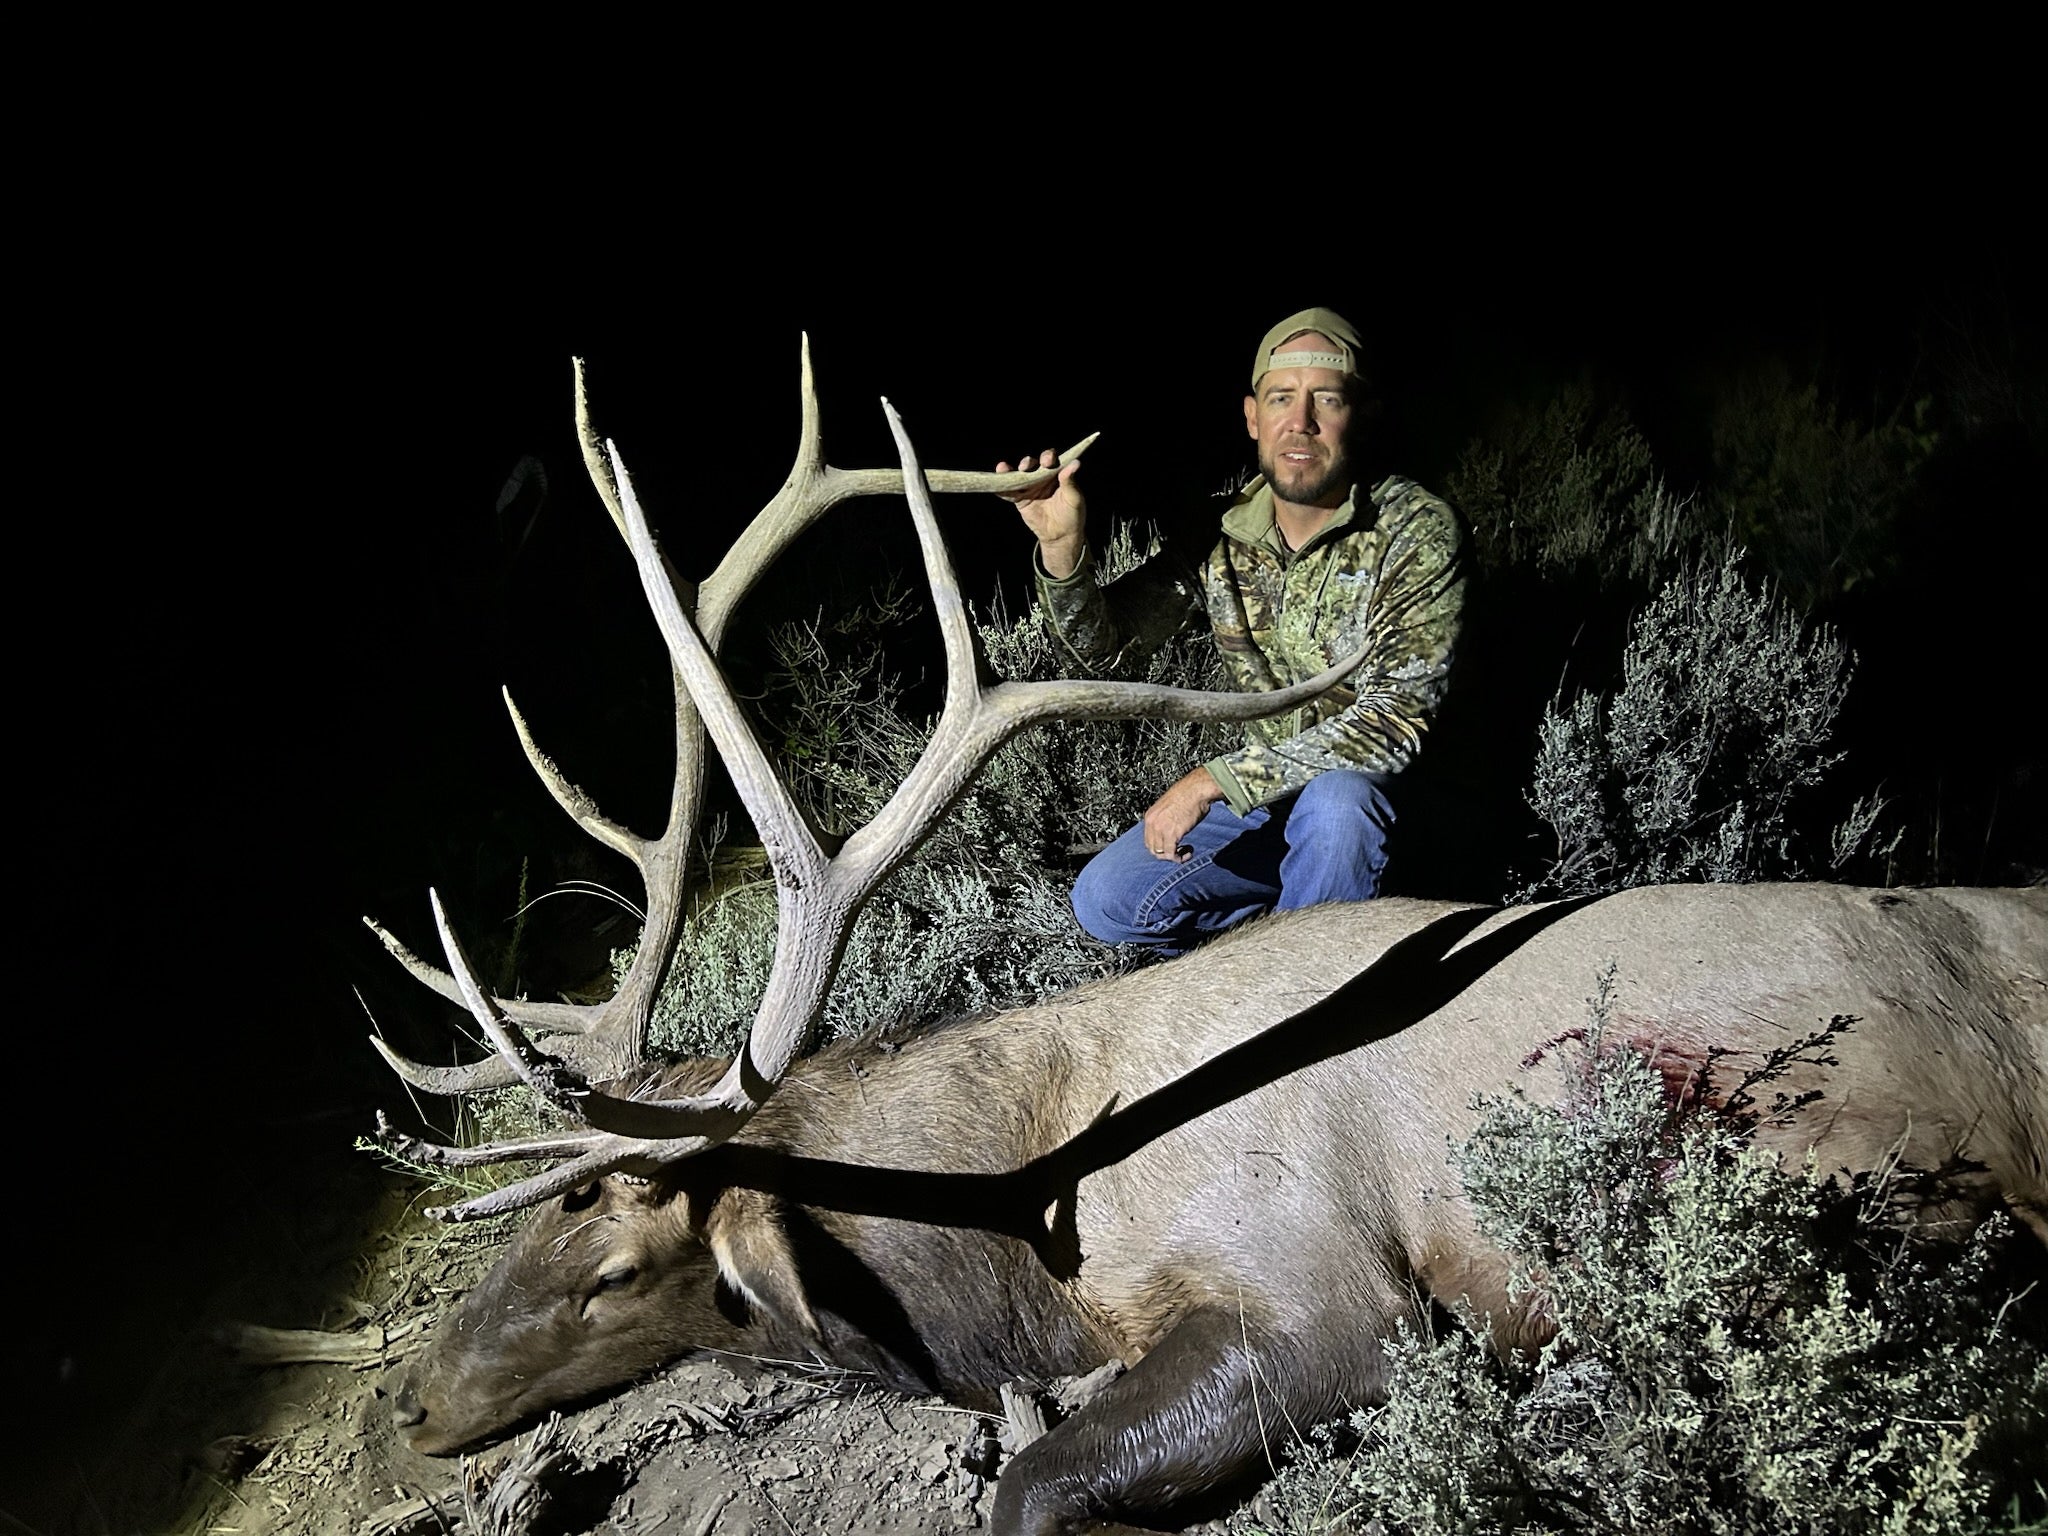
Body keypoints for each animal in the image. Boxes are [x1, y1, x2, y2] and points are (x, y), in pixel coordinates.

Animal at [367, 343, 2048, 1536]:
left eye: (613, 1267)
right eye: (527, 1230)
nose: (411, 1409)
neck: (1025, 1225)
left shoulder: (1328, 1293)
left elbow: (1027, 1484)